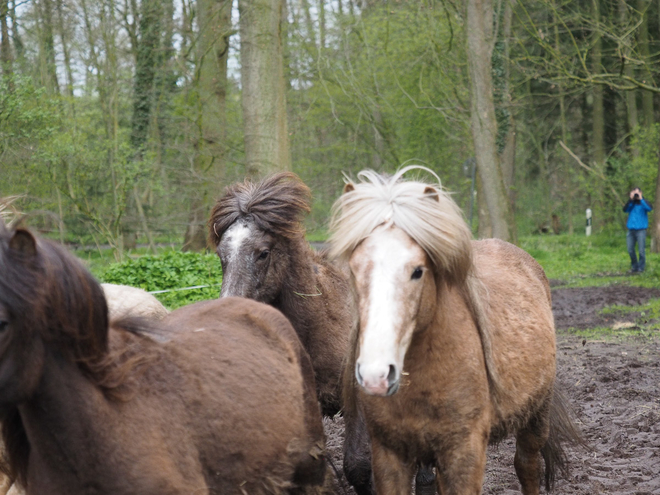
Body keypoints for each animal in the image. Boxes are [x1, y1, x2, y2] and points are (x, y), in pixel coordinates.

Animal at [328, 168, 580, 495]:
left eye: (418, 271)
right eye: (355, 269)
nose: (376, 374)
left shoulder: (464, 452)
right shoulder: (389, 454)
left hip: (536, 415)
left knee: (527, 465)